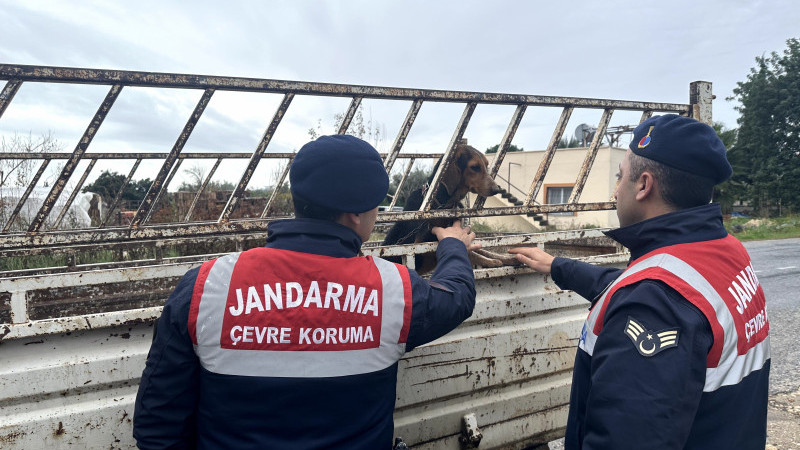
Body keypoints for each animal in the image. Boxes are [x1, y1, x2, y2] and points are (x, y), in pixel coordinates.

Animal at [382, 142, 510, 272]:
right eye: (475, 167)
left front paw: (505, 257)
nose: (497, 189)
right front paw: (492, 262)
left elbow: (481, 250)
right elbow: (470, 252)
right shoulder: (423, 248)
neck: (441, 203)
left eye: (486, 165)